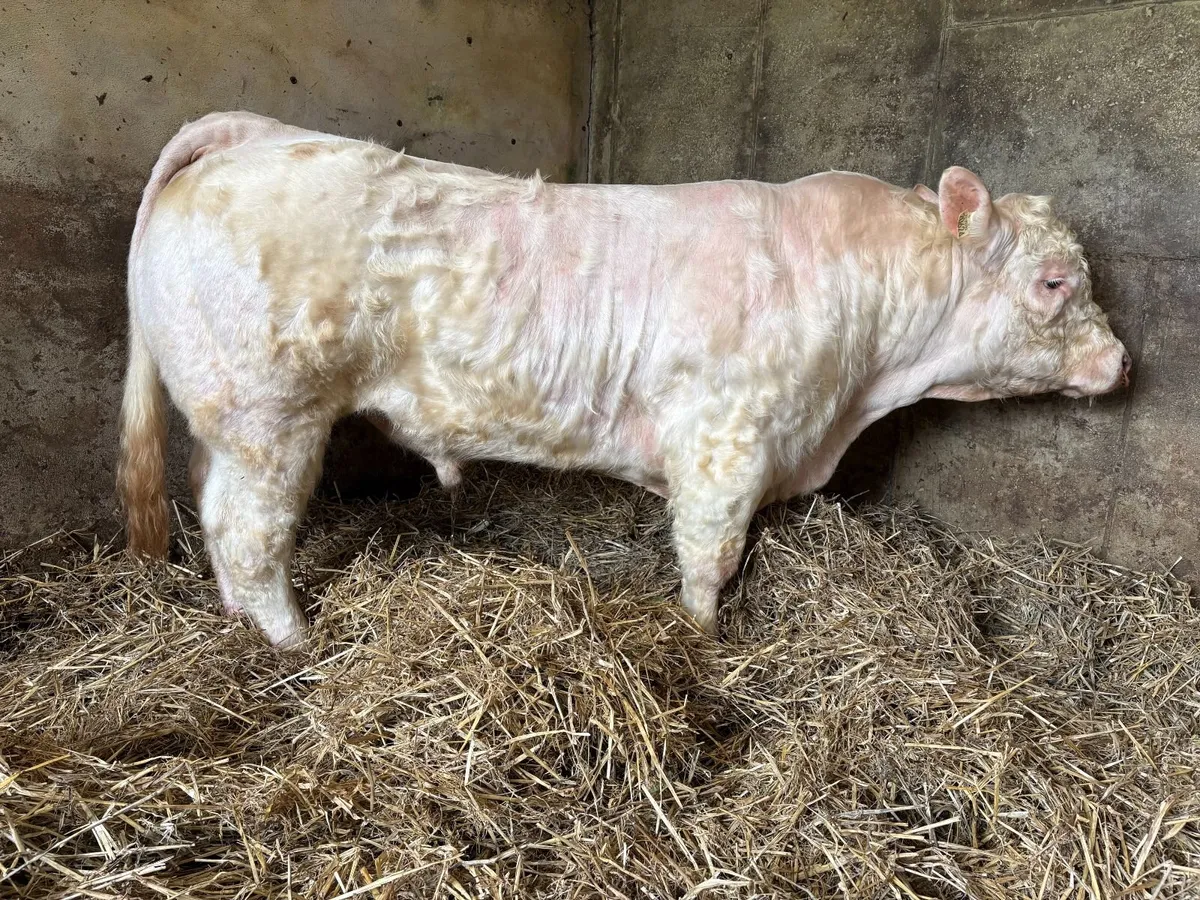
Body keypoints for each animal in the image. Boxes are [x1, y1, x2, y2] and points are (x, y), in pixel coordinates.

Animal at [118, 111, 1131, 648]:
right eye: (1054, 283)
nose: (1121, 360)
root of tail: (257, 133)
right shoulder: (724, 442)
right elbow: (710, 559)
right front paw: (702, 640)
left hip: (228, 421)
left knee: (213, 510)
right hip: (271, 418)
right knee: (249, 534)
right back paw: (295, 640)